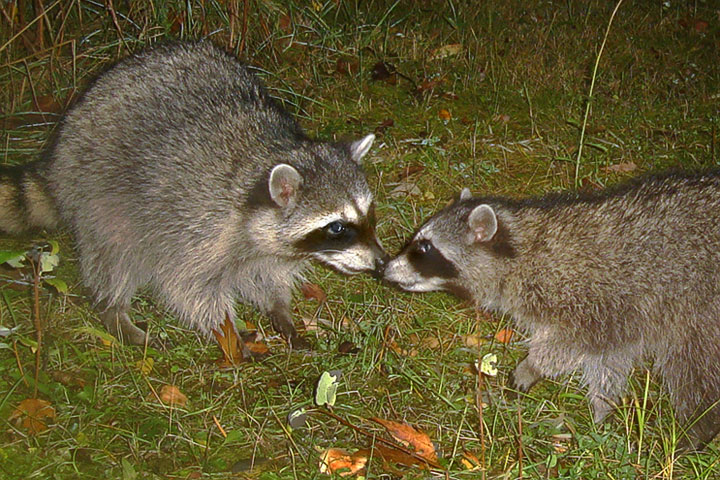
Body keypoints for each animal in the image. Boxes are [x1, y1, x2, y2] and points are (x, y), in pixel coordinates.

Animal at [386, 172, 720, 450]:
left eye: (425, 248)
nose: (383, 268)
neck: (521, 249)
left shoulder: (594, 298)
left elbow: (573, 341)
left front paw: (535, 365)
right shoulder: (619, 317)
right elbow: (609, 359)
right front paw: (603, 408)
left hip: (700, 310)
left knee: (691, 366)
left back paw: (699, 425)